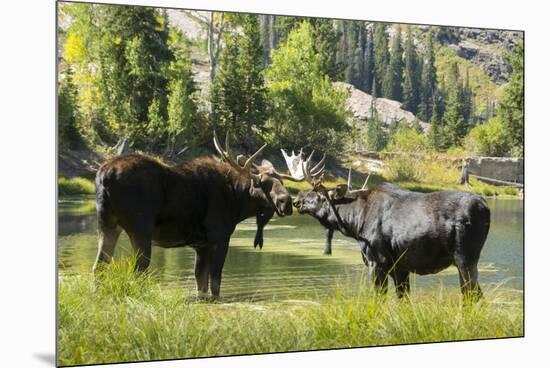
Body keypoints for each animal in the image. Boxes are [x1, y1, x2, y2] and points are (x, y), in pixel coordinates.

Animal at [93, 132, 306, 300]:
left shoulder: (200, 244)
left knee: (99, 266)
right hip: (141, 230)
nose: (287, 202)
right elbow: (216, 282)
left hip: (107, 225)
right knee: (138, 269)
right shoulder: (219, 237)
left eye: (282, 181)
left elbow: (200, 282)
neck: (237, 201)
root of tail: (104, 175)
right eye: (262, 182)